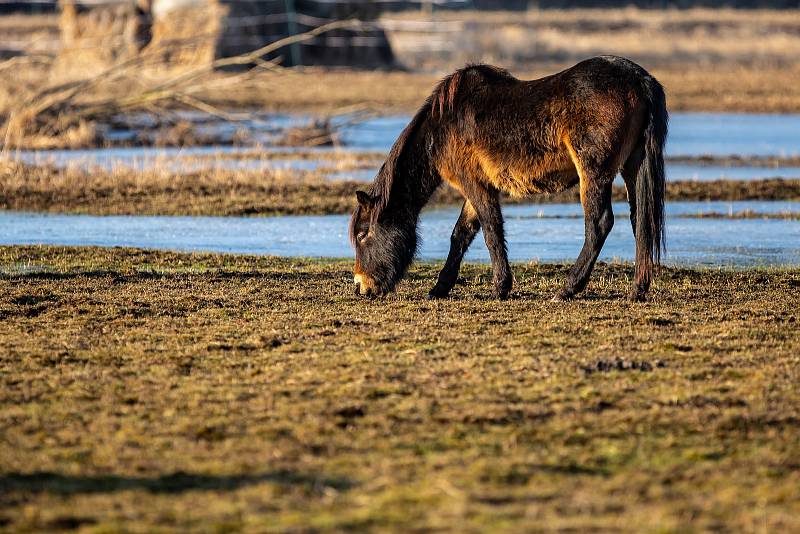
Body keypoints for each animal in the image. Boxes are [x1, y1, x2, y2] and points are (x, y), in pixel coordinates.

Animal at [350, 57, 668, 306]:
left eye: (363, 234)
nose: (360, 287)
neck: (440, 129)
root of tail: (639, 80)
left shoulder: (473, 184)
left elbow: (491, 231)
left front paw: (500, 288)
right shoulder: (479, 186)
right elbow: (461, 234)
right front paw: (440, 288)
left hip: (593, 172)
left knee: (599, 223)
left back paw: (567, 289)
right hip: (633, 166)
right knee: (641, 220)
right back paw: (637, 290)